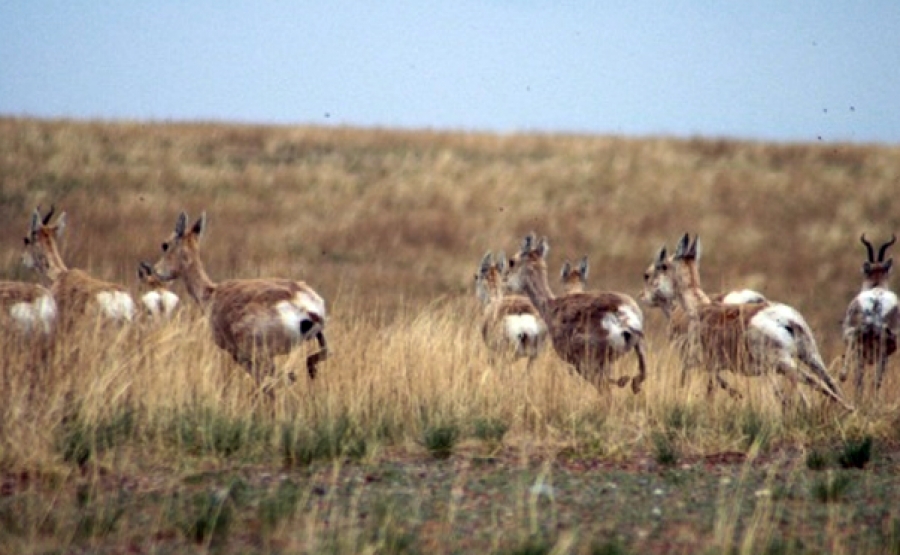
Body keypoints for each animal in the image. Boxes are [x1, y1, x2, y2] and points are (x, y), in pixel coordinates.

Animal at [149, 212, 328, 390]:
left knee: (281, 380)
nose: (154, 271)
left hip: (261, 357)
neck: (211, 293)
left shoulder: (238, 355)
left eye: (165, 245)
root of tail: (305, 306)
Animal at [506, 235, 648, 396]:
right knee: (639, 377)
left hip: (592, 365)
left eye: (512, 261)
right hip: (636, 348)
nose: (506, 281)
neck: (551, 306)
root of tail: (623, 315)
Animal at [668, 232, 852, 410]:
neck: (699, 307)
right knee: (828, 383)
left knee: (806, 392)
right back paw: (848, 408)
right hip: (809, 357)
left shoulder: (702, 365)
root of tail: (786, 320)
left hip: (783, 365)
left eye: (666, 265)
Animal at [840, 235, 896, 396]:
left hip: (861, 343)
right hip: (882, 349)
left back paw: (843, 375)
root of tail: (876, 300)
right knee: (876, 380)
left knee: (861, 378)